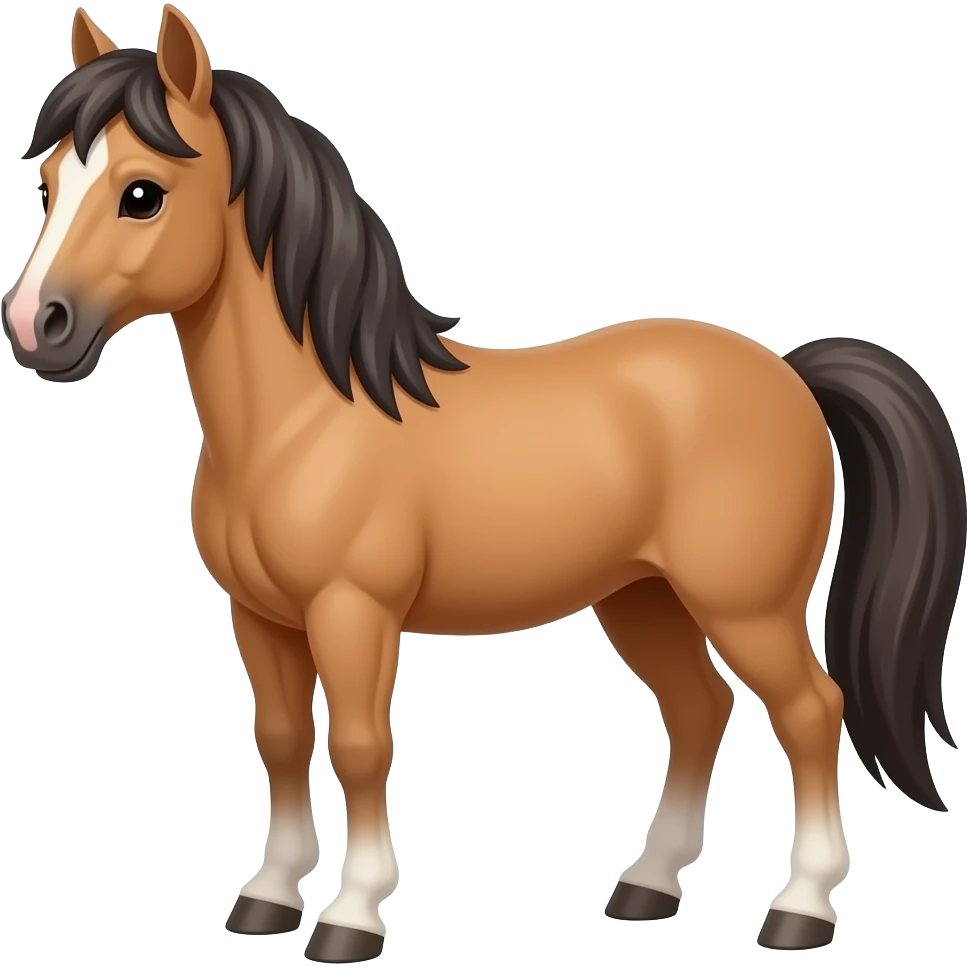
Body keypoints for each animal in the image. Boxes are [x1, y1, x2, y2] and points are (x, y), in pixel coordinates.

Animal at [3, 5, 963, 960]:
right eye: (49, 183)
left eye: (142, 193)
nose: (35, 325)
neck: (307, 418)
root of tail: (791, 374)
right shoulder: (260, 616)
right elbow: (278, 740)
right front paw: (269, 898)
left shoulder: (352, 611)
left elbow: (359, 746)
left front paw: (351, 917)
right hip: (643, 598)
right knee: (700, 708)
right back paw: (647, 886)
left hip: (746, 606)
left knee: (810, 712)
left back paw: (800, 908)